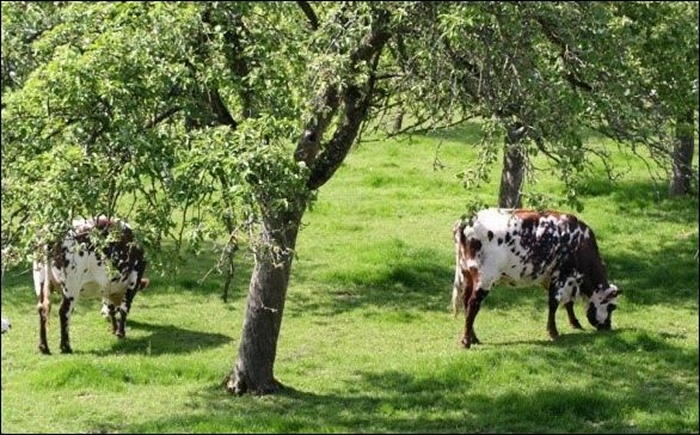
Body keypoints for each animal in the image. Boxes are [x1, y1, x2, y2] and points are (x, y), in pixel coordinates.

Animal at [33, 216, 148, 356]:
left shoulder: (108, 286)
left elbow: (110, 308)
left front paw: (114, 329)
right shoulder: (133, 279)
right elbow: (124, 308)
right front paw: (120, 333)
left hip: (40, 282)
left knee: (42, 308)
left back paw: (43, 347)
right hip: (71, 287)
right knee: (64, 311)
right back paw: (66, 346)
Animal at [452, 209, 620, 350]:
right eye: (612, 307)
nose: (608, 327)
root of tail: (467, 219)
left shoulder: (552, 278)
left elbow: (568, 303)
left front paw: (575, 323)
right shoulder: (562, 275)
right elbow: (554, 303)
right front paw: (553, 332)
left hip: (467, 274)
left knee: (466, 301)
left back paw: (473, 338)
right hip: (485, 277)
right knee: (473, 304)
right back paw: (466, 341)